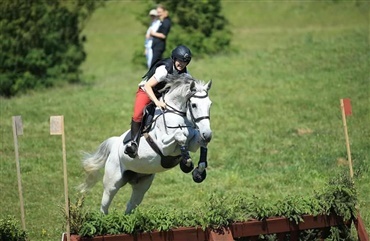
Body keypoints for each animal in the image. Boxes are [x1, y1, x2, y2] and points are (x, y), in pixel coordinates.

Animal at [79, 74, 212, 214]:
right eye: (194, 105)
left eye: (210, 104)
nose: (208, 133)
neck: (177, 114)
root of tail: (115, 144)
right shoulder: (164, 147)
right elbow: (180, 135)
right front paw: (187, 163)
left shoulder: (193, 142)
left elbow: (200, 143)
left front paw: (199, 172)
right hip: (112, 182)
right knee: (104, 205)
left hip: (142, 184)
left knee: (130, 205)